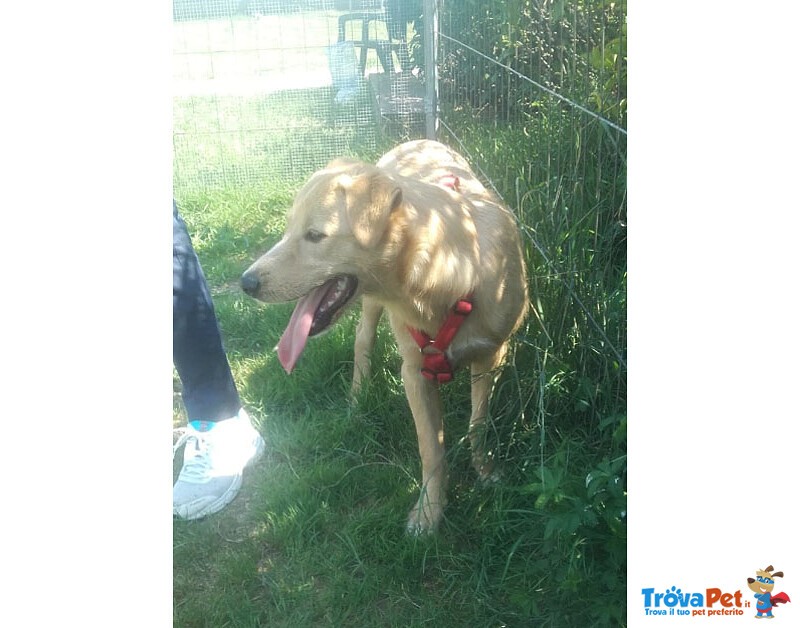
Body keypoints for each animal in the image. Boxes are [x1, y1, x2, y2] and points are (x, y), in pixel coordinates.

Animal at [244, 140, 532, 532]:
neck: (451, 272)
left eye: (315, 235)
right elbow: (431, 448)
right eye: (288, 229)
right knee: (362, 340)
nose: (246, 283)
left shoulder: (493, 355)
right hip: (369, 306)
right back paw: (357, 395)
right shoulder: (414, 372)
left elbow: (479, 422)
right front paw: (429, 513)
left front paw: (485, 471)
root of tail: (418, 141)